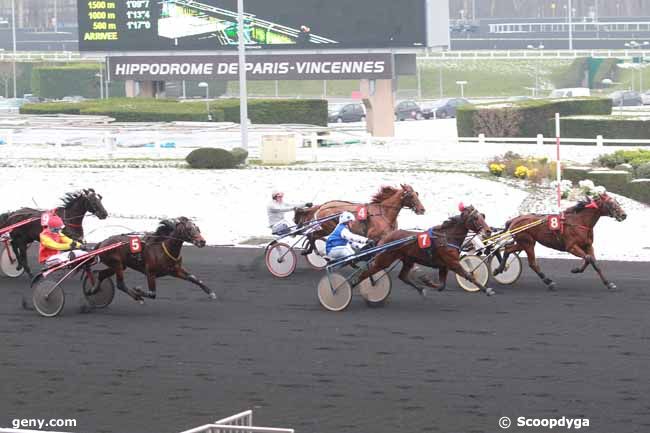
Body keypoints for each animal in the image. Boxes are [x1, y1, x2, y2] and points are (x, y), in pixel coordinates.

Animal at [356, 204, 494, 296]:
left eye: (483, 216)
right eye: (475, 218)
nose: (488, 231)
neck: (447, 237)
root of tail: (386, 237)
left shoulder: (444, 266)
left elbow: (441, 286)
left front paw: (426, 281)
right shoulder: (453, 263)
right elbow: (468, 276)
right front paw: (487, 290)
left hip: (408, 260)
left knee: (402, 276)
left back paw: (421, 289)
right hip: (385, 260)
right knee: (364, 274)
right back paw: (356, 285)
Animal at [494, 193, 624, 290]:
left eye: (617, 202)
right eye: (611, 203)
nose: (624, 215)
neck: (580, 221)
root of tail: (514, 220)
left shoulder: (588, 245)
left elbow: (593, 262)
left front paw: (608, 283)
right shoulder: (571, 247)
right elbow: (588, 258)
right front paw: (576, 270)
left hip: (523, 243)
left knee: (508, 249)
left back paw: (499, 269)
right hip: (527, 242)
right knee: (532, 263)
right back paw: (548, 281)